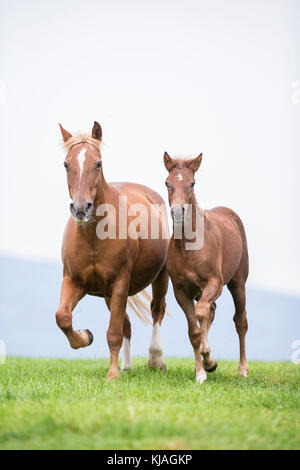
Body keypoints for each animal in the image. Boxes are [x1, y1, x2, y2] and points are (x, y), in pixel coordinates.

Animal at [56, 123, 169, 380]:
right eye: (66, 164)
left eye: (98, 163)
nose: (81, 208)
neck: (93, 238)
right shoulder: (73, 281)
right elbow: (63, 317)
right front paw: (85, 337)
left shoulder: (119, 283)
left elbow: (113, 333)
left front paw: (112, 375)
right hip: (109, 294)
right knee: (126, 323)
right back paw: (126, 366)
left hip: (160, 277)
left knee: (157, 311)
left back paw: (156, 360)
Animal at [164, 154, 248, 386]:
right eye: (167, 183)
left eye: (192, 183)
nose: (177, 212)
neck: (189, 247)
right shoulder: (181, 291)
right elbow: (194, 330)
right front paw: (202, 370)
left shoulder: (214, 282)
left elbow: (201, 312)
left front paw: (209, 360)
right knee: (212, 311)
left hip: (238, 283)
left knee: (240, 321)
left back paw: (243, 369)